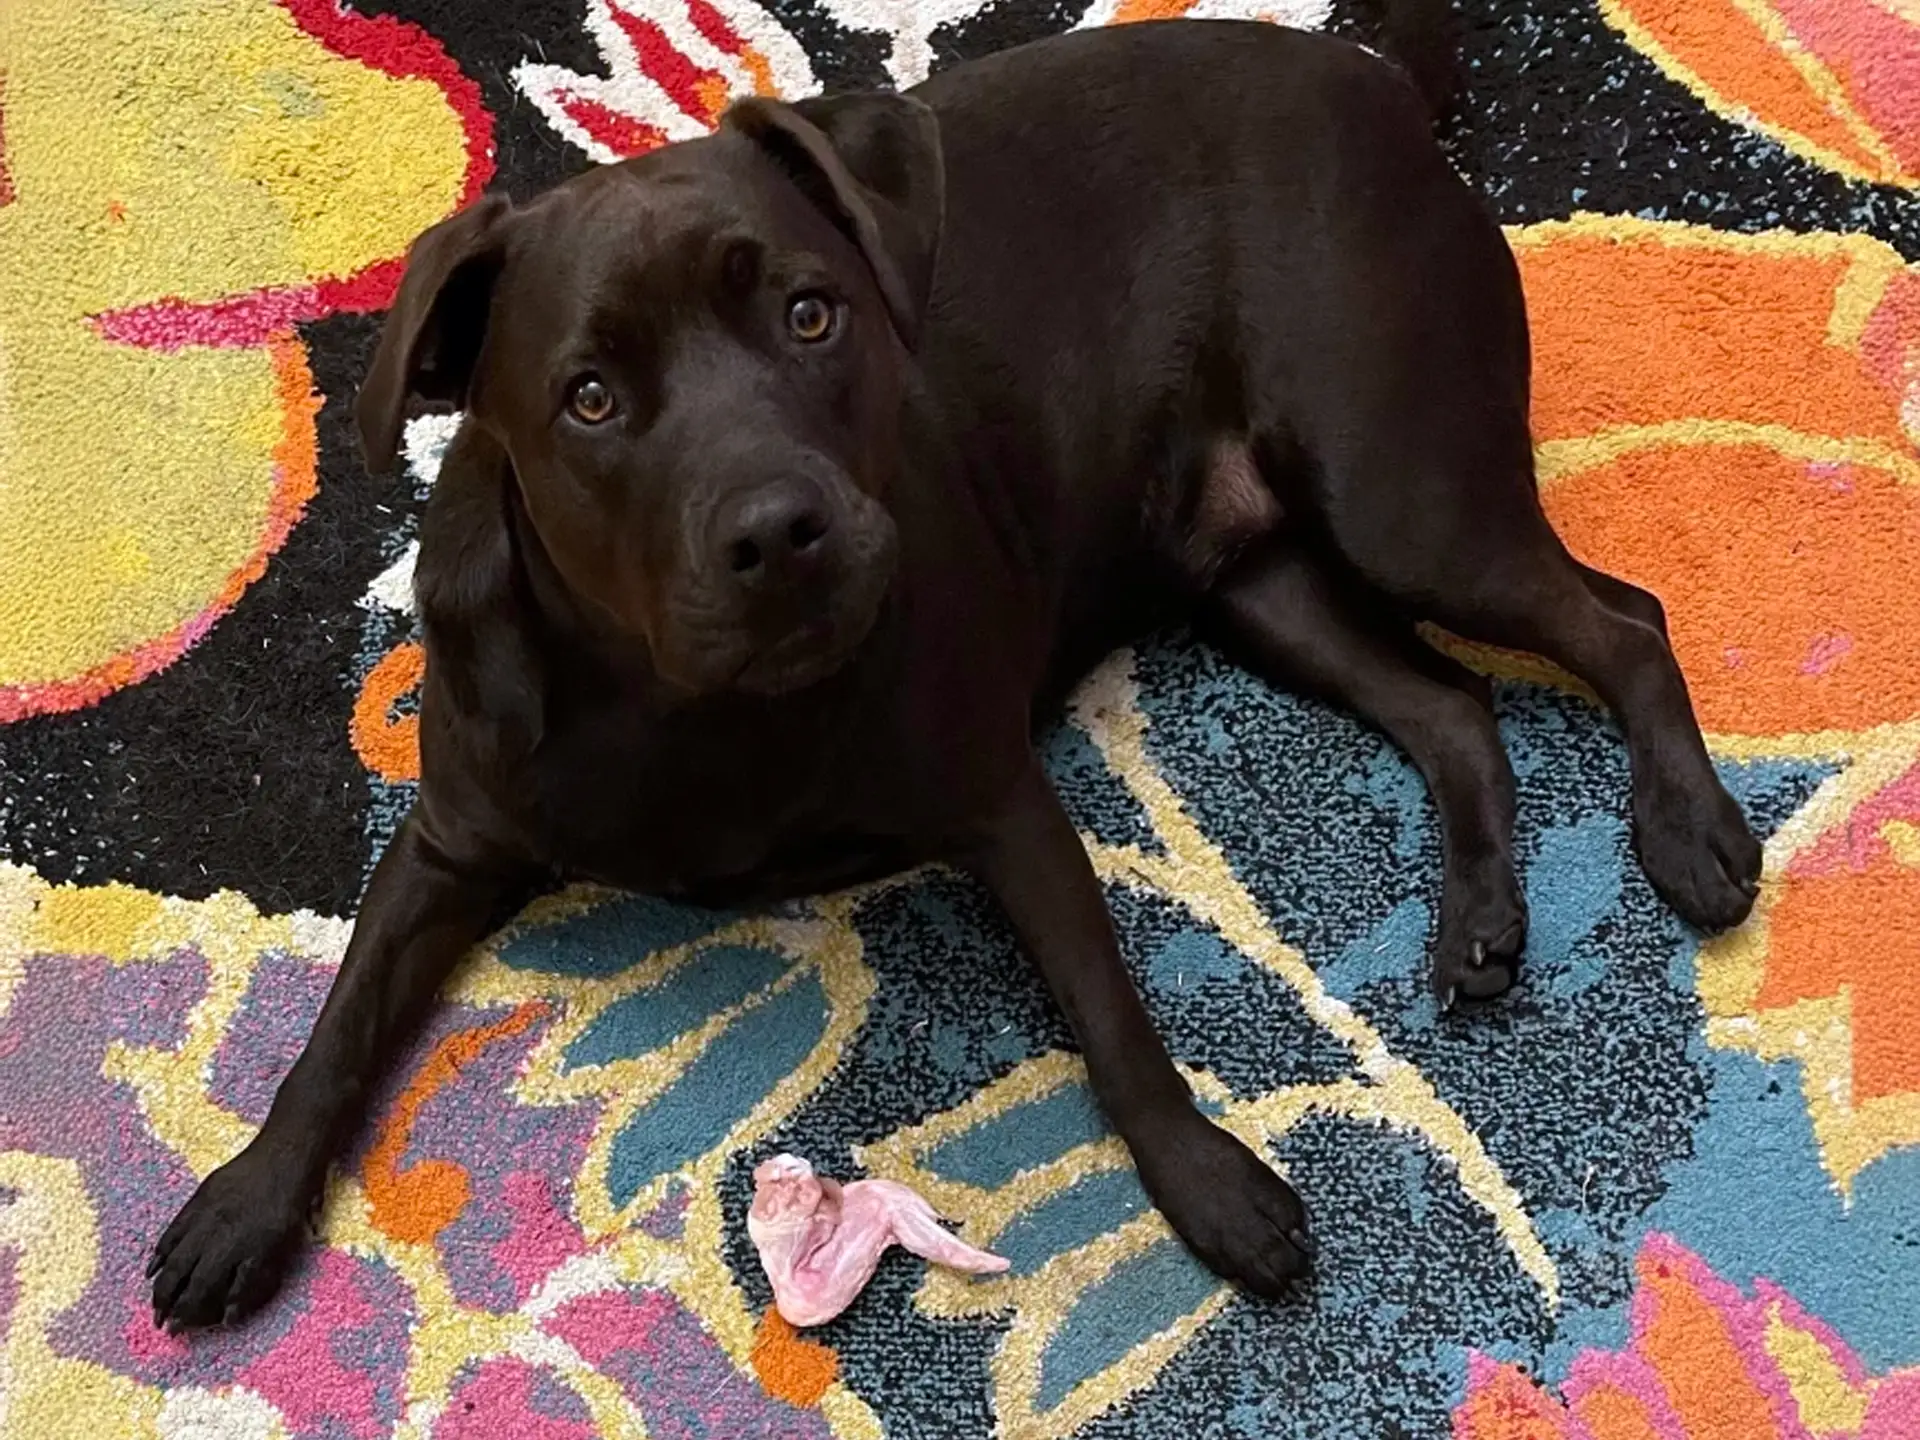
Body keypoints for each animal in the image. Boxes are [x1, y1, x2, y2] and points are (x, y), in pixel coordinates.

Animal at [153, 16, 1758, 1336]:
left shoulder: (1003, 805)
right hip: (1266, 582)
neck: (682, 703)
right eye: (589, 399)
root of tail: (1366, 76)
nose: (781, 531)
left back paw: (1691, 833)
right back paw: (1481, 914)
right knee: (1455, 705)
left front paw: (1207, 1184)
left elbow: (1114, 1023)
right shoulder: (450, 842)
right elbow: (338, 1027)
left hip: (1400, 494)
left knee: (1626, 620)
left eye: (811, 314)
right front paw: (247, 1199)